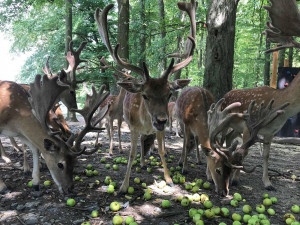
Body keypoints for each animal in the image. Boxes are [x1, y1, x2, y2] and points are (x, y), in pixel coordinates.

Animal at [94, 0, 197, 193]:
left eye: (169, 93)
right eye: (145, 95)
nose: (162, 120)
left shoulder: (159, 130)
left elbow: (162, 150)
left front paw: (169, 179)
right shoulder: (133, 127)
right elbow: (131, 153)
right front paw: (123, 186)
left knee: (145, 141)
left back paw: (143, 162)